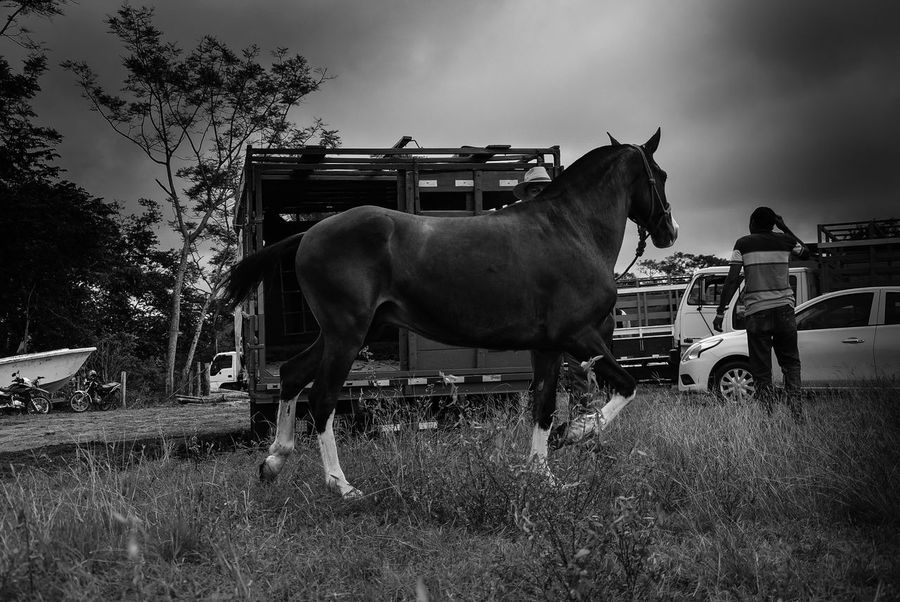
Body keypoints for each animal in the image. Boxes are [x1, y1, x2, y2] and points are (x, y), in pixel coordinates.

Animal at [223, 127, 676, 496]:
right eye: (663, 175)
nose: (669, 232)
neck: (569, 229)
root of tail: (309, 233)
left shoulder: (547, 347)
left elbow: (544, 408)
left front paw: (543, 476)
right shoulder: (579, 336)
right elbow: (627, 386)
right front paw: (577, 432)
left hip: (344, 333)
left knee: (292, 374)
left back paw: (273, 463)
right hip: (346, 335)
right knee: (321, 398)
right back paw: (341, 485)